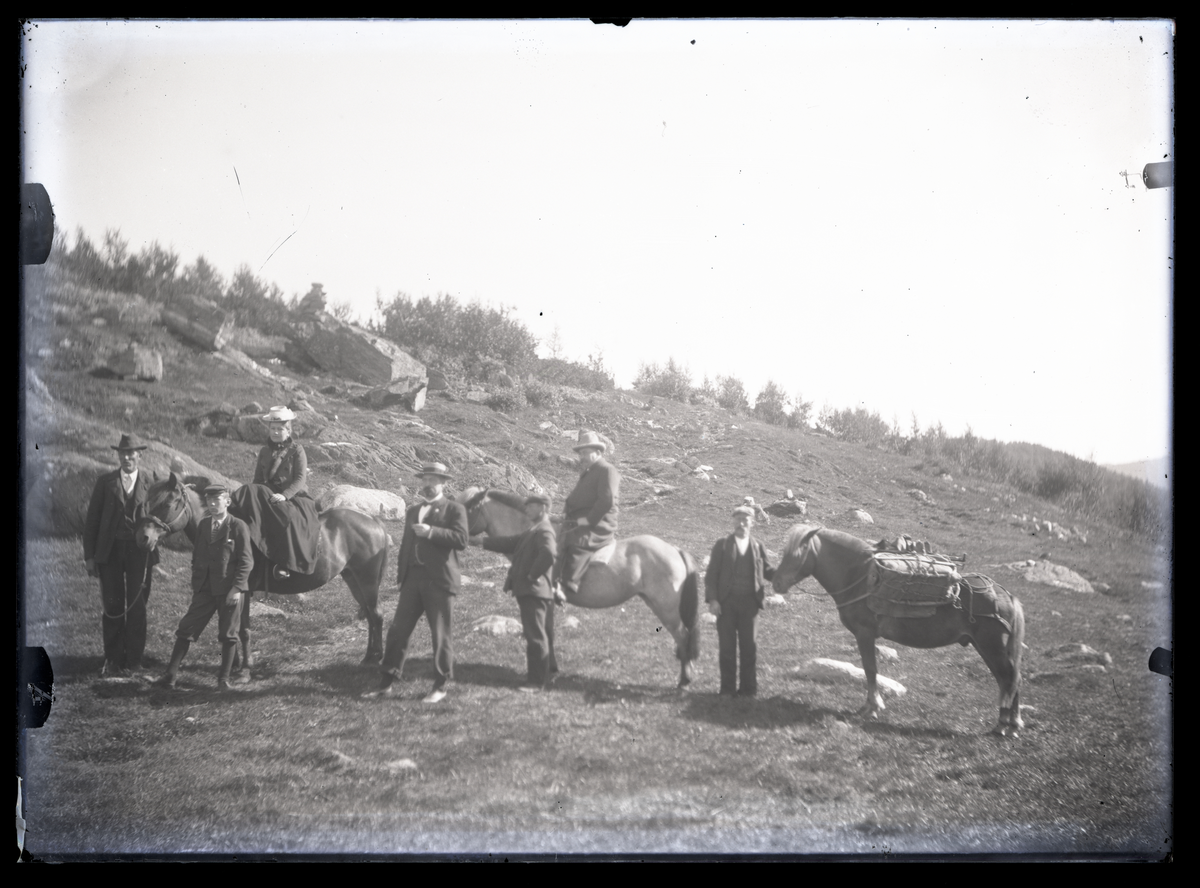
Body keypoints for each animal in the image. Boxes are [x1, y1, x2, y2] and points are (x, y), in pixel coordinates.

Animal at [135, 472, 388, 667]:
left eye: (167, 504)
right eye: (146, 503)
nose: (143, 538)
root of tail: (374, 522)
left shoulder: (243, 591)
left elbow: (243, 629)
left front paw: (245, 665)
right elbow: (230, 628)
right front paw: (234, 663)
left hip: (366, 581)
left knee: (376, 615)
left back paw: (376, 658)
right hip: (353, 579)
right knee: (370, 615)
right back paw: (369, 656)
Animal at [458, 489, 700, 691]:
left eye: (468, 508)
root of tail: (674, 550)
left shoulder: (544, 601)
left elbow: (546, 633)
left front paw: (549, 670)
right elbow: (549, 632)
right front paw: (552, 668)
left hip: (667, 609)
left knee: (683, 636)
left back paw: (684, 681)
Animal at [772, 520, 1027, 734]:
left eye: (798, 554)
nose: (776, 582)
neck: (860, 578)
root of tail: (1007, 595)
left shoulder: (865, 634)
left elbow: (870, 669)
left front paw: (872, 707)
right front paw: (871, 705)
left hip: (991, 647)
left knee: (1008, 678)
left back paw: (1004, 725)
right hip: (985, 647)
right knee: (1009, 679)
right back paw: (1012, 724)